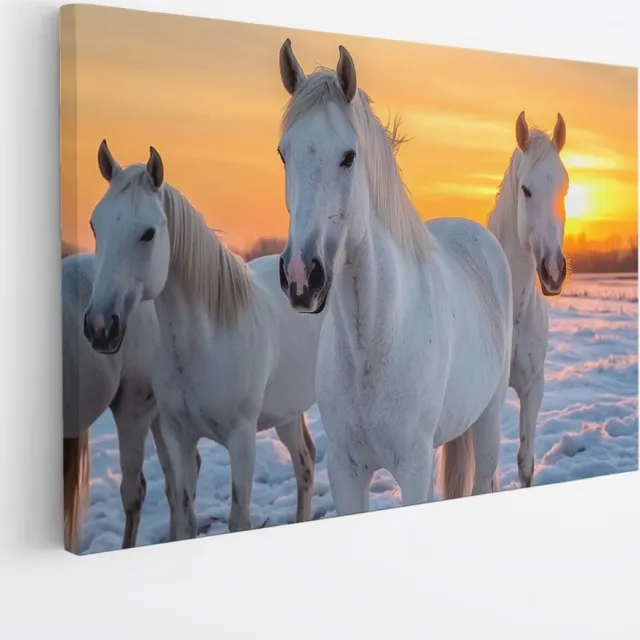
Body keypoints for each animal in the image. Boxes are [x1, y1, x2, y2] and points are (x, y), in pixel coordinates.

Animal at [83, 140, 324, 541]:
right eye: (95, 226)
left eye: (148, 233)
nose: (100, 327)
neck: (205, 345)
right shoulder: (177, 437)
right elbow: (183, 519)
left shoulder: (242, 440)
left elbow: (239, 520)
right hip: (287, 412)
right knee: (304, 464)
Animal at [276, 39, 513, 515]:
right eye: (283, 153)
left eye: (349, 157)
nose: (300, 276)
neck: (371, 343)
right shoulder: (346, 471)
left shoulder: (414, 466)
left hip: (488, 421)